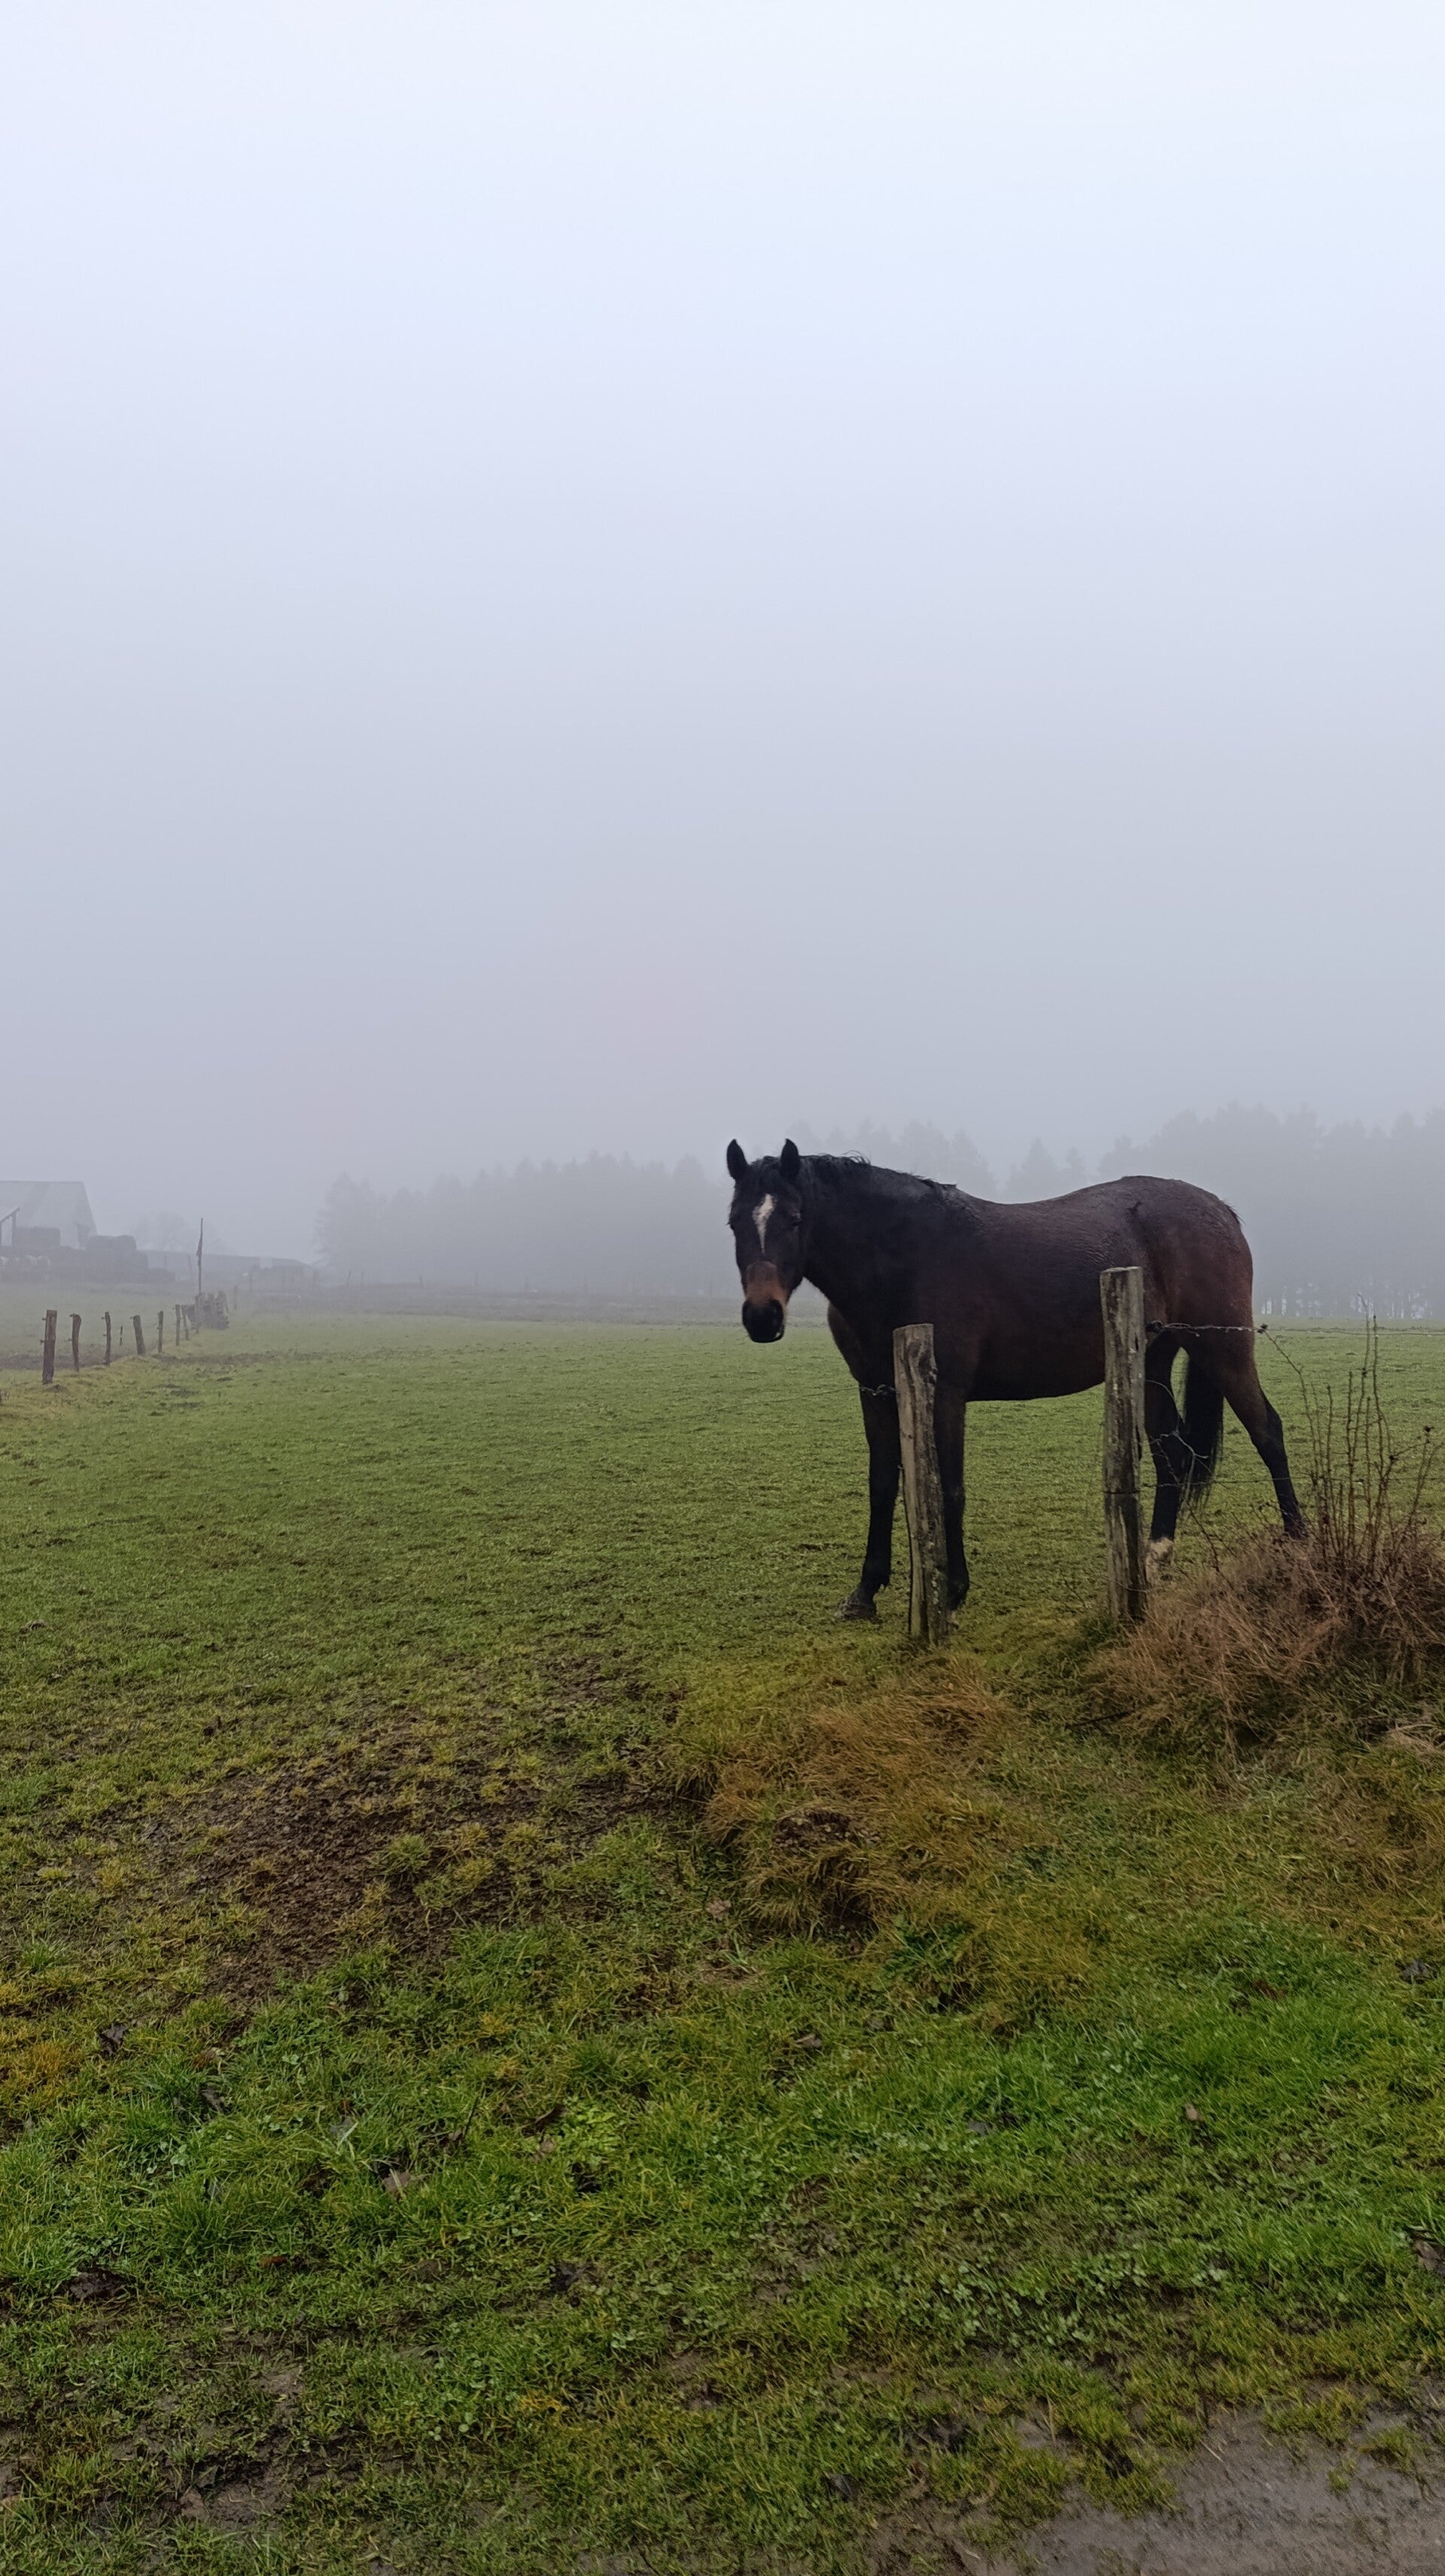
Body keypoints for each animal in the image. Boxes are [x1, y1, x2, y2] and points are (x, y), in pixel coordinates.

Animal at [725, 1138, 1303, 1616]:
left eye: (795, 1218)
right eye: (734, 1222)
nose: (762, 1317)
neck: (903, 1257)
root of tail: (1221, 1211)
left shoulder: (946, 1392)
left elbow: (950, 1486)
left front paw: (953, 1590)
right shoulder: (876, 1391)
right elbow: (883, 1484)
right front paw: (866, 1592)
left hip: (1223, 1347)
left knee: (1267, 1431)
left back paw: (1298, 1544)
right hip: (1153, 1361)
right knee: (1172, 1453)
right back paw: (1154, 1560)